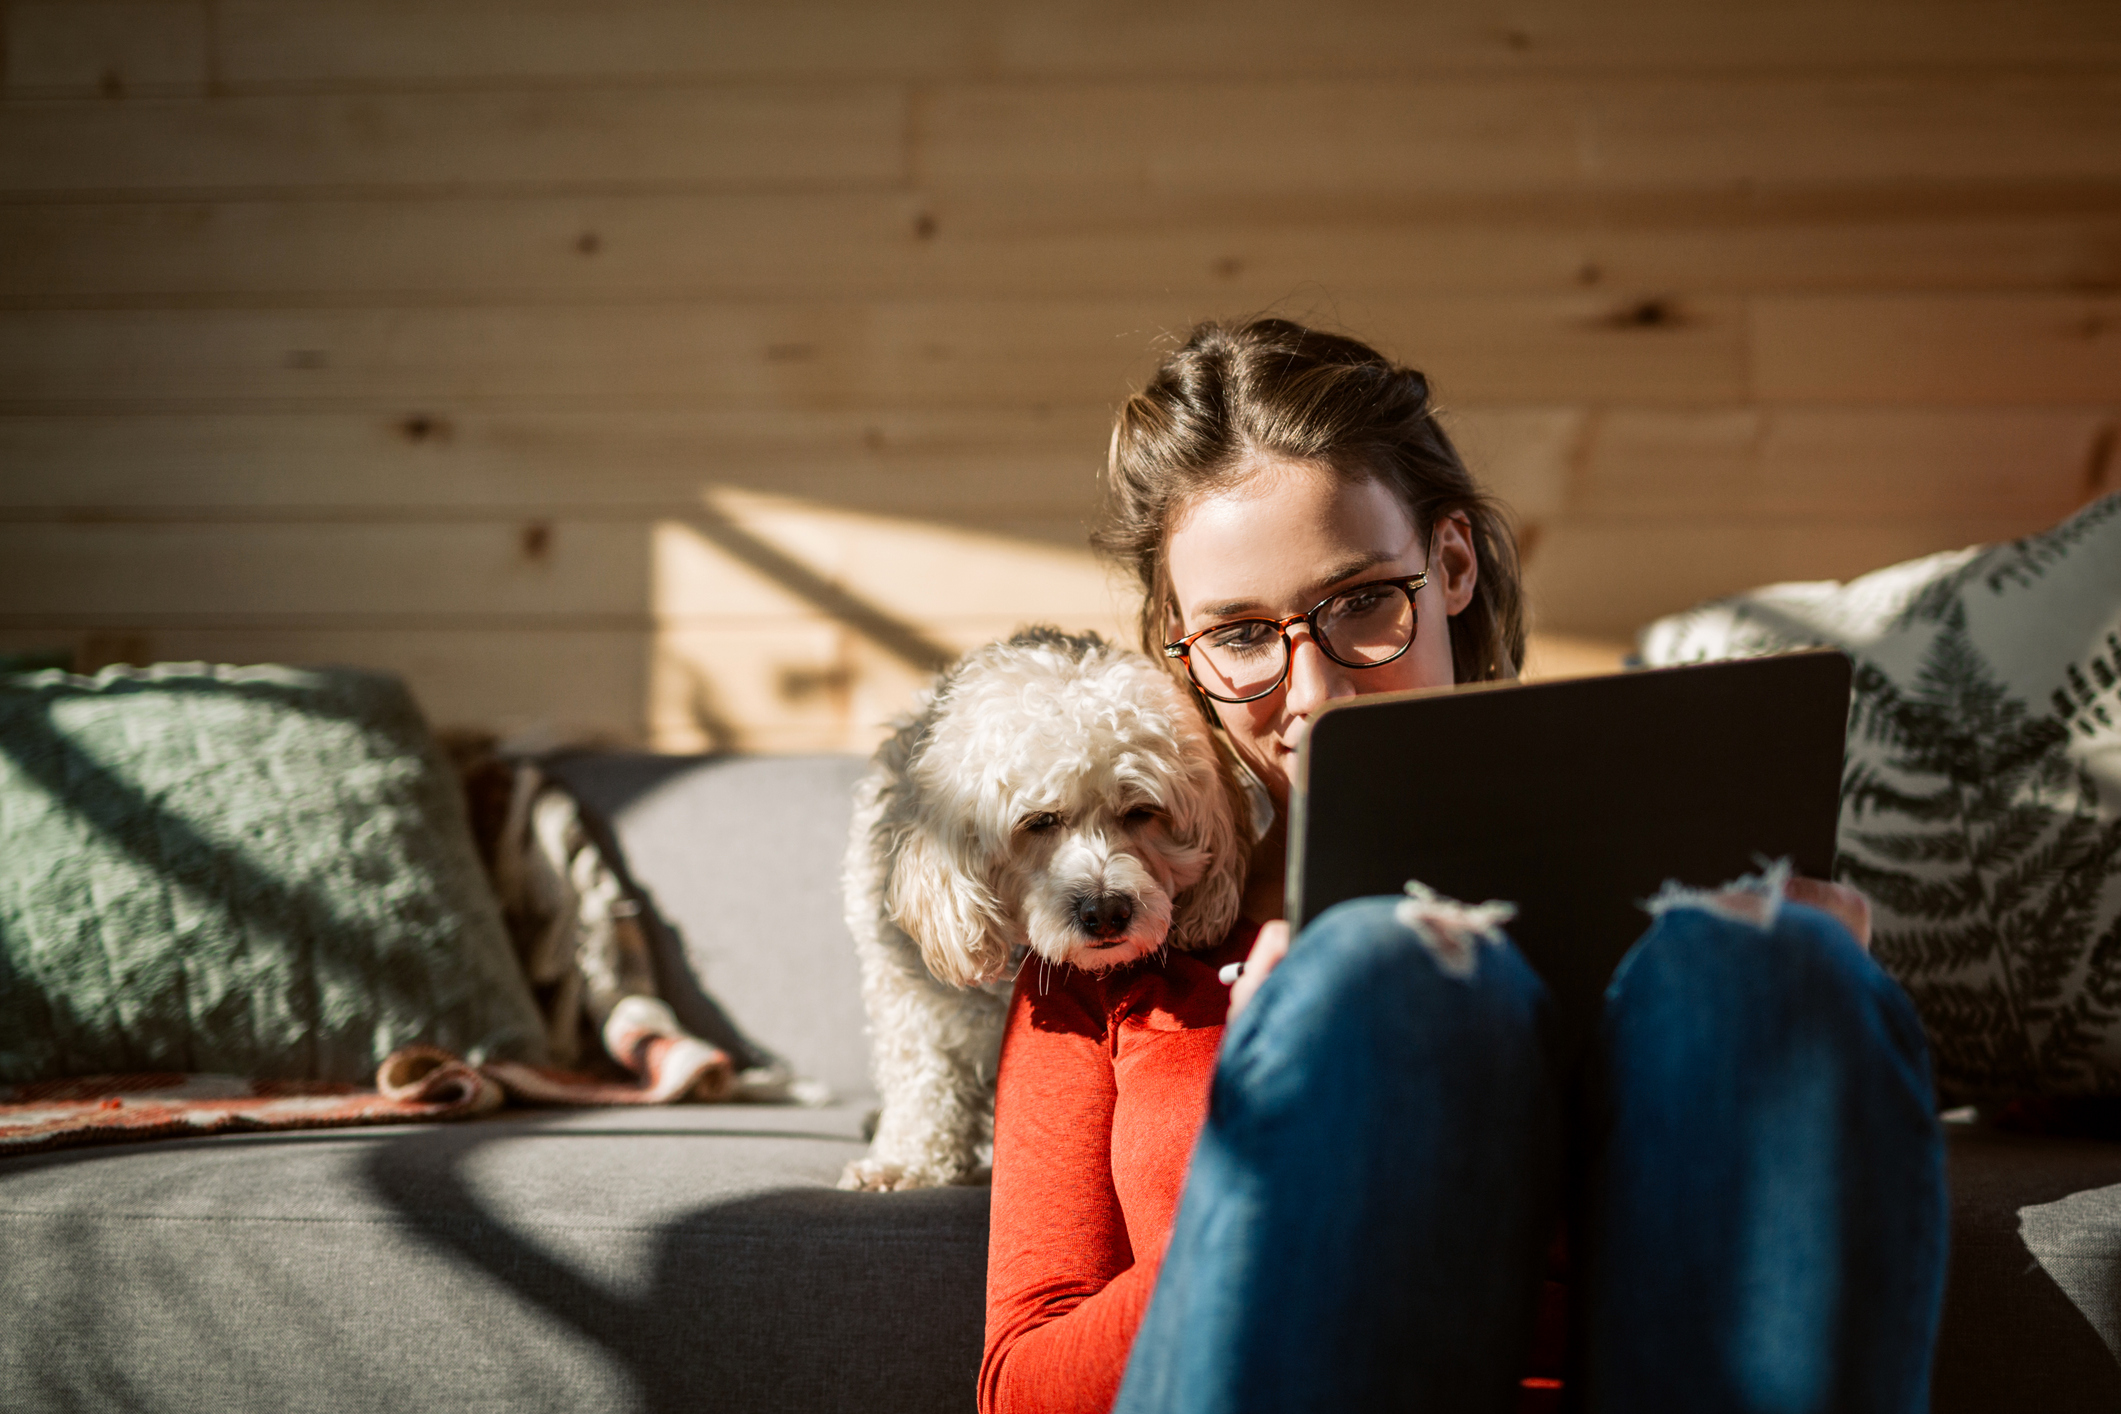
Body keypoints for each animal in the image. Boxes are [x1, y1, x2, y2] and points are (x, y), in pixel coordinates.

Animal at [835, 623, 1247, 1187]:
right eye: (1040, 821)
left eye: (1141, 811)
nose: (1107, 912)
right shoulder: (910, 995)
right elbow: (923, 1076)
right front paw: (905, 1161)